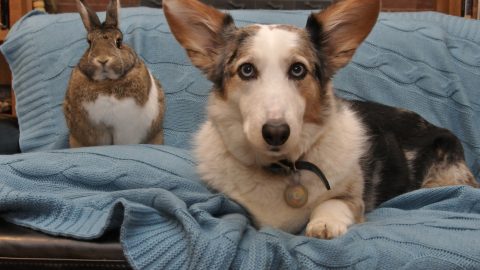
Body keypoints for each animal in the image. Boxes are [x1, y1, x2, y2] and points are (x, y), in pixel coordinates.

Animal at [163, 0, 478, 238]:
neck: (281, 168)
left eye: (298, 70)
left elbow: (332, 203)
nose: (276, 132)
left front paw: (324, 224)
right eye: (247, 70)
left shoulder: (351, 198)